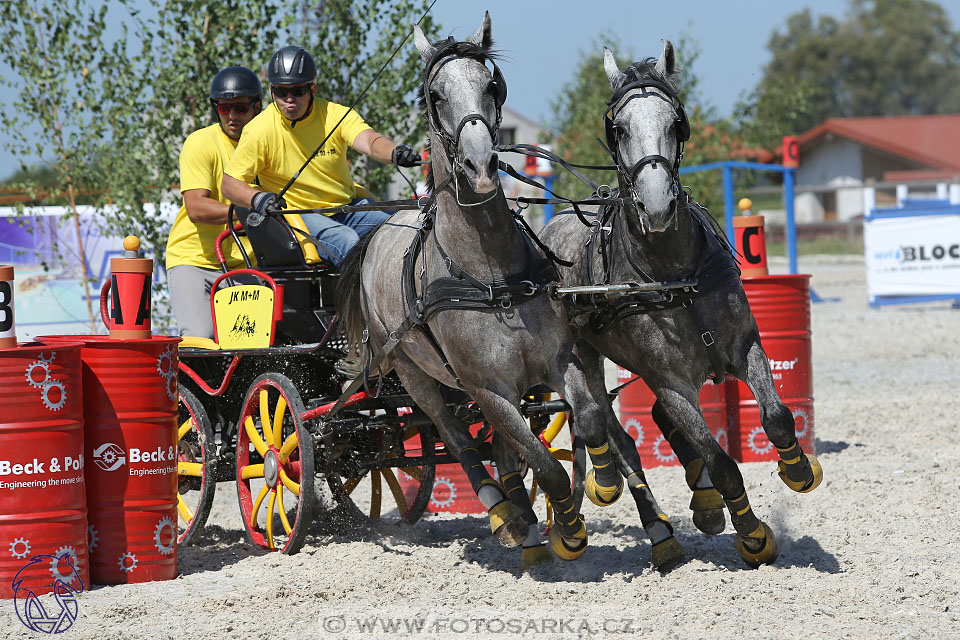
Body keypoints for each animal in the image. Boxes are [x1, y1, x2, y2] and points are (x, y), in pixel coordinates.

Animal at [338, 12, 624, 564]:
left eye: (492, 85)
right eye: (434, 94)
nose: (481, 165)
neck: (488, 275)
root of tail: (378, 229)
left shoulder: (558, 362)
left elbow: (588, 420)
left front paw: (602, 484)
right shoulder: (488, 390)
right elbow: (543, 463)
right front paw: (565, 528)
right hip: (412, 374)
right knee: (456, 439)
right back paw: (503, 512)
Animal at [544, 42, 820, 568]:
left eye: (676, 122)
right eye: (619, 128)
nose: (656, 207)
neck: (675, 273)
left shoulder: (745, 345)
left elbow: (776, 417)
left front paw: (799, 469)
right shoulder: (670, 381)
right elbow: (722, 460)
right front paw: (753, 535)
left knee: (649, 425)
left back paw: (701, 504)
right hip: (585, 359)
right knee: (617, 437)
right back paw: (651, 525)